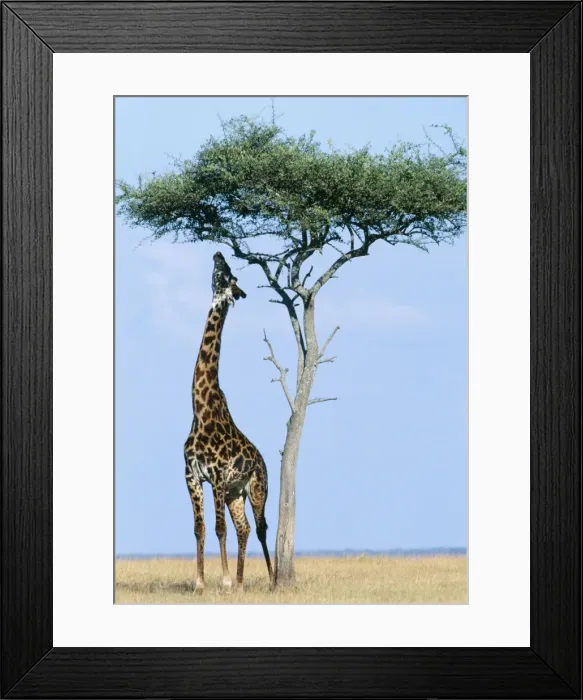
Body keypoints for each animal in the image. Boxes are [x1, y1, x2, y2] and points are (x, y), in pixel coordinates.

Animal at [184, 251, 273, 593]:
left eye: (229, 274)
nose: (218, 253)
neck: (201, 410)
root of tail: (263, 461)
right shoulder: (192, 477)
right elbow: (200, 528)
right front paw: (199, 583)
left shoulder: (218, 476)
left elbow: (219, 528)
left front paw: (220, 581)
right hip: (237, 493)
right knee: (244, 528)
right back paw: (240, 582)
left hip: (256, 488)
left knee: (260, 528)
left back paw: (272, 579)